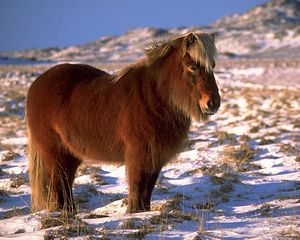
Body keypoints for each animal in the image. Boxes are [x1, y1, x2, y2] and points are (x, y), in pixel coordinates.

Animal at [26, 31, 220, 214]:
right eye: (192, 66)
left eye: (213, 66)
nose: (213, 103)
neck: (154, 96)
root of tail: (37, 84)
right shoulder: (139, 155)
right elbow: (138, 185)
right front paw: (134, 212)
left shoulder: (155, 157)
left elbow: (147, 189)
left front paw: (143, 212)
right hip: (54, 152)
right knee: (58, 183)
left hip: (70, 154)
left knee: (66, 182)